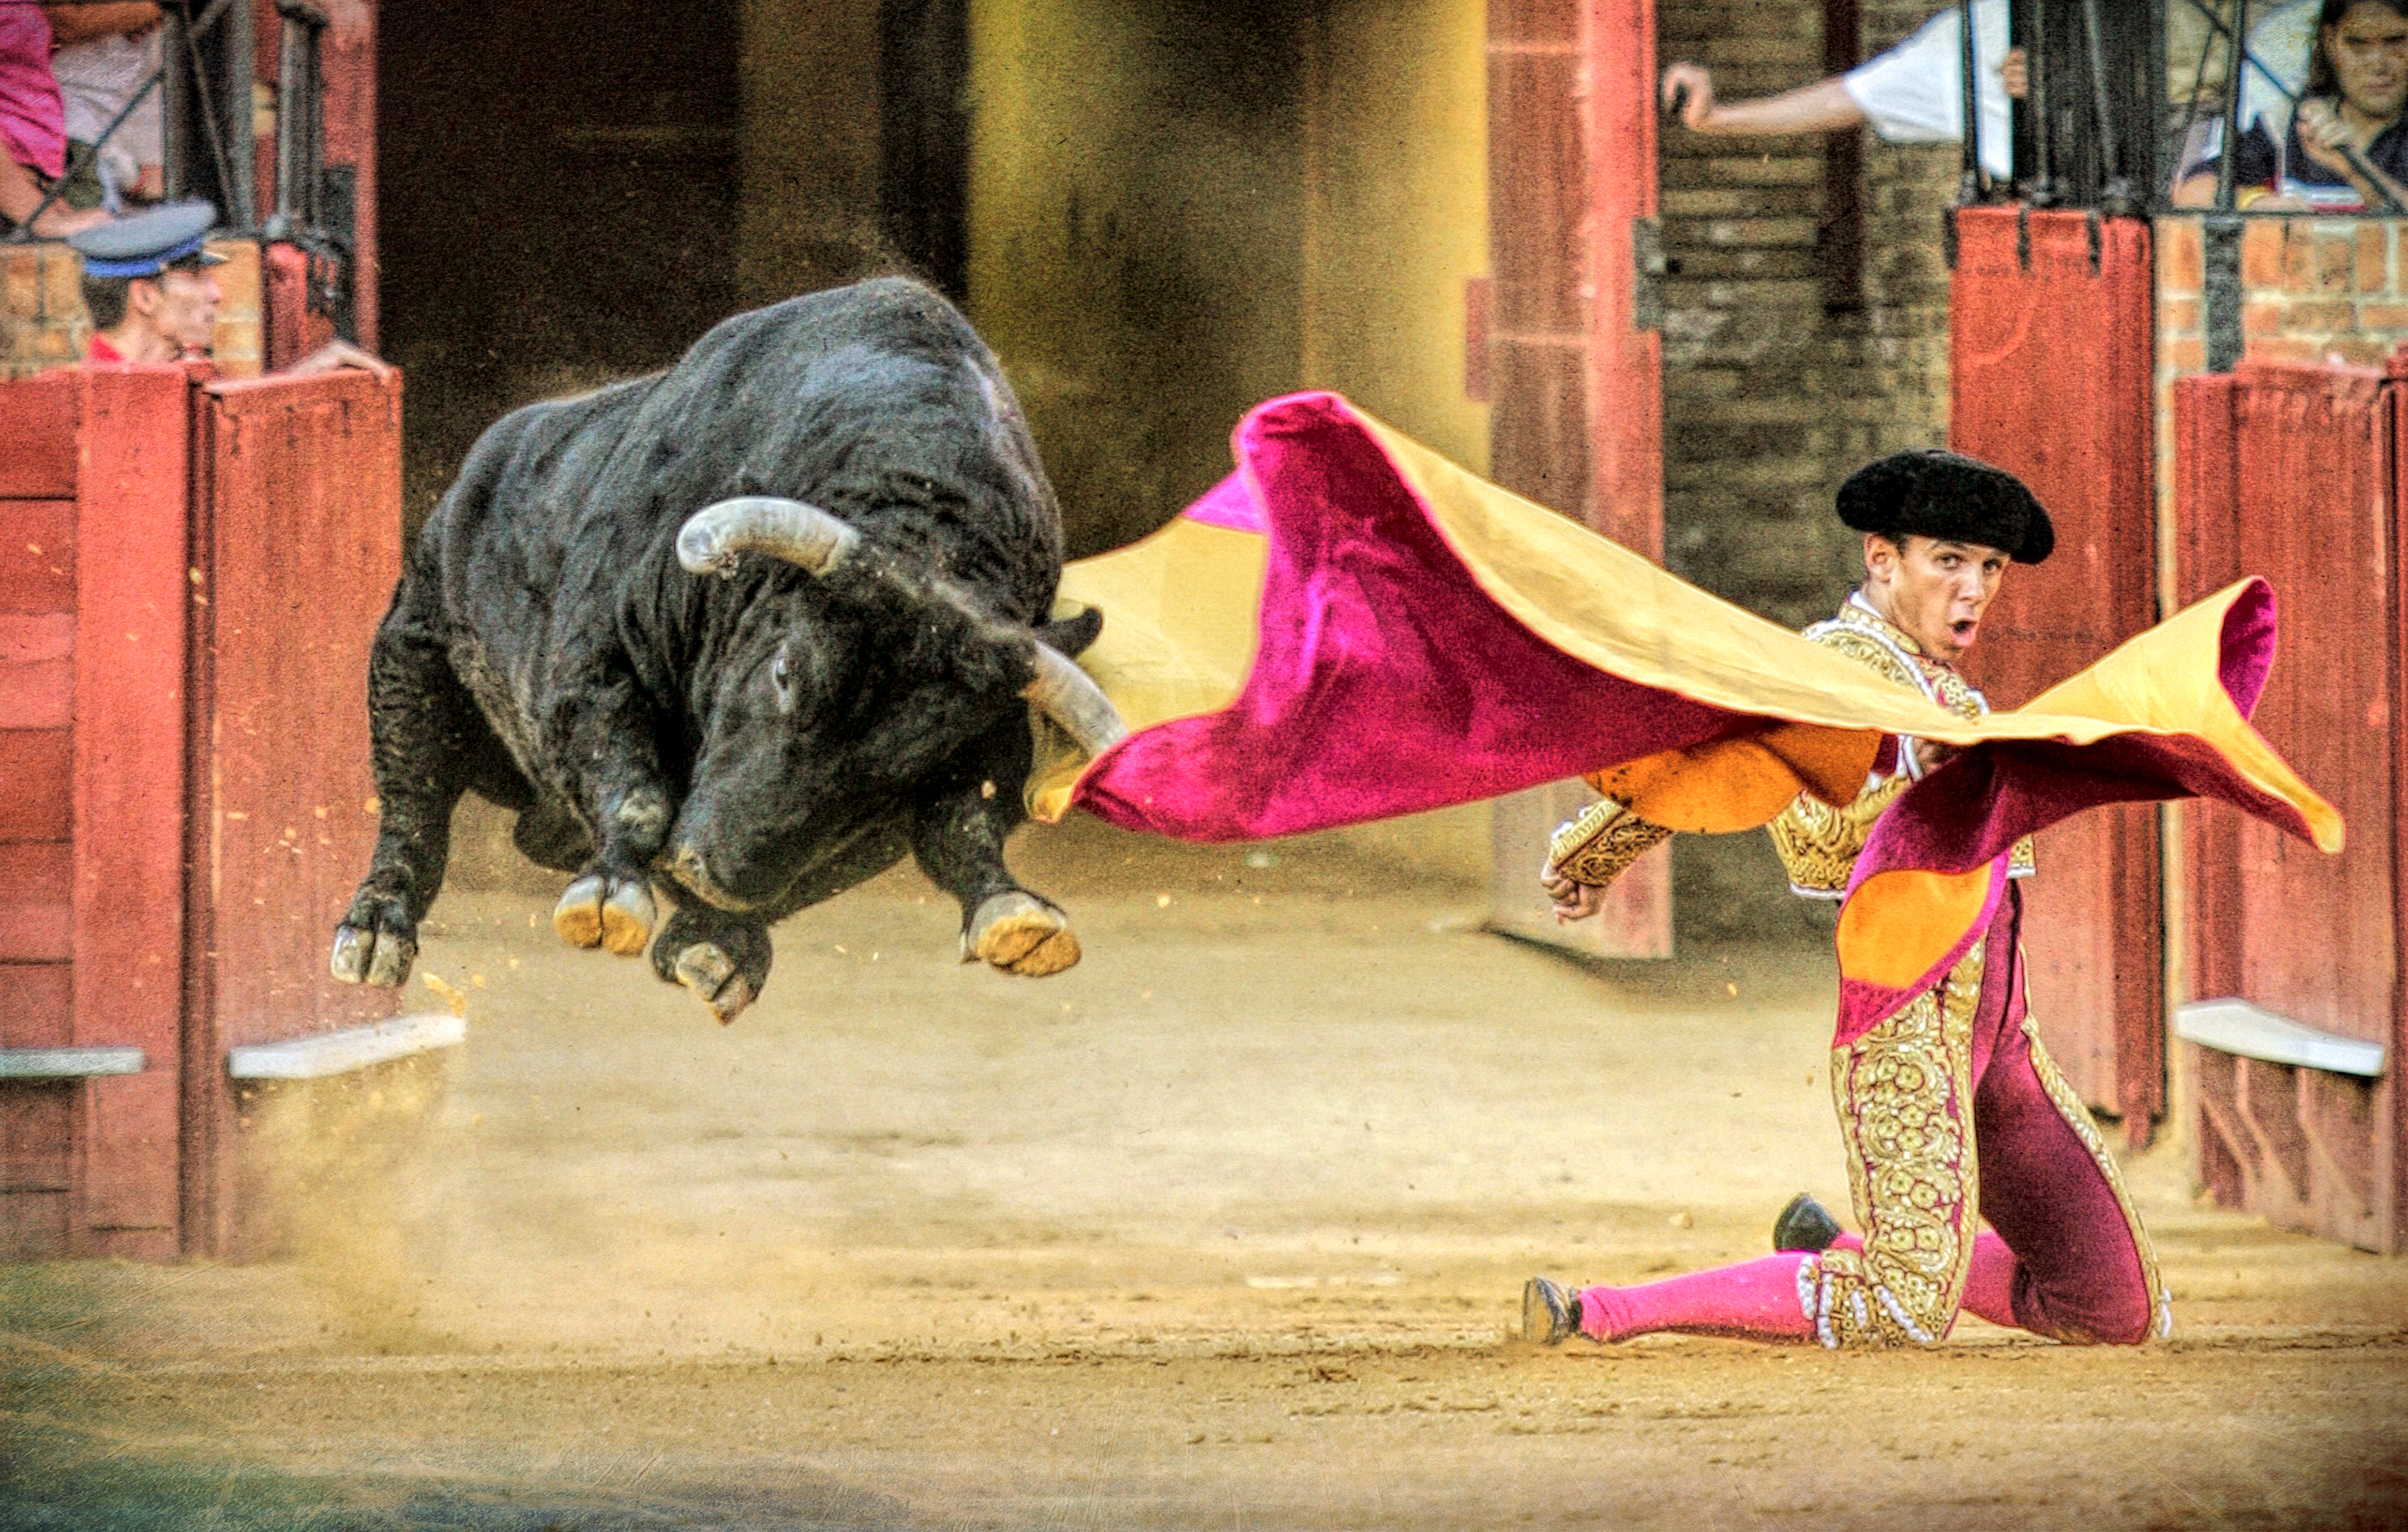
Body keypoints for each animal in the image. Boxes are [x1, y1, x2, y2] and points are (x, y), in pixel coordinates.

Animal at [329, 277, 1127, 1023]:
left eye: (913, 763)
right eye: (784, 671)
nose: (712, 873)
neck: (929, 521)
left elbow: (956, 828)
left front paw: (1014, 918)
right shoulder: (592, 673)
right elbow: (639, 796)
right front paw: (610, 896)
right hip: (411, 649)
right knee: (414, 802)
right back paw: (374, 934)